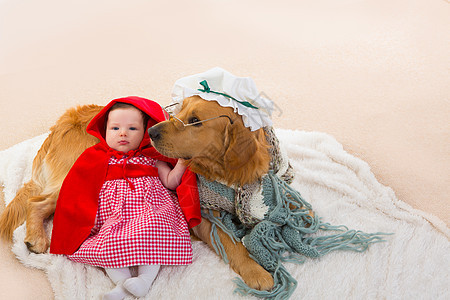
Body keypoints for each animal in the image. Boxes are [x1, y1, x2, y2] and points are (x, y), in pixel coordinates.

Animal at [0, 95, 274, 290]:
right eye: (180, 110)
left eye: (195, 120)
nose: (150, 132)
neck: (227, 174)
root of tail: (61, 124)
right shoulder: (203, 217)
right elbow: (230, 242)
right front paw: (257, 272)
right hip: (80, 180)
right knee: (36, 202)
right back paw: (37, 238)